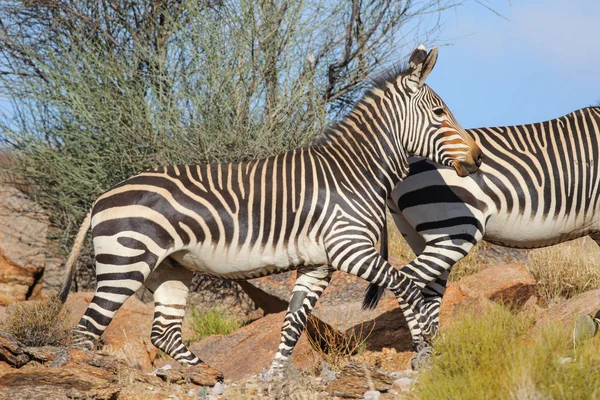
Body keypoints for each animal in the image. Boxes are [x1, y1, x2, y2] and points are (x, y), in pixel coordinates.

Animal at [57, 45, 482, 376]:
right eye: (440, 113)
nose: (477, 158)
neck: (351, 173)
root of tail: (100, 198)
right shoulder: (350, 250)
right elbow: (408, 286)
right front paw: (431, 343)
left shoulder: (318, 264)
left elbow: (292, 324)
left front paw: (275, 379)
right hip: (126, 263)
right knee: (86, 331)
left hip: (171, 267)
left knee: (164, 332)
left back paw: (210, 376)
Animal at [364, 106, 600, 350]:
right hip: (455, 228)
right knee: (409, 279)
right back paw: (424, 344)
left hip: (419, 234)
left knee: (429, 288)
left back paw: (433, 350)